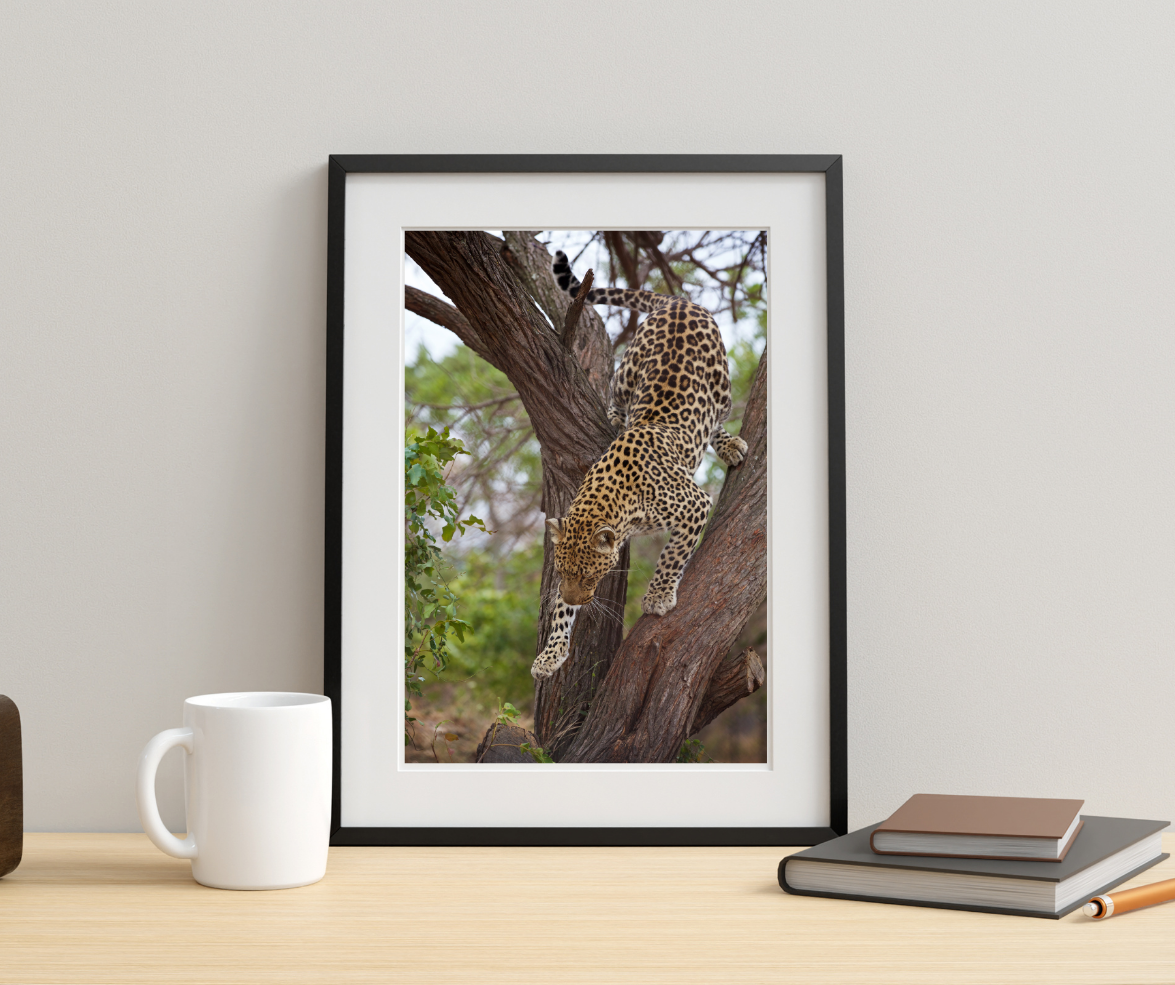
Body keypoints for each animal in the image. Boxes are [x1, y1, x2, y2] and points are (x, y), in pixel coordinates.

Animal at [530, 250, 748, 680]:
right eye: (562, 572)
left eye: (589, 575)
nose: (575, 597)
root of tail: (678, 301)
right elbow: (560, 614)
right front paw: (551, 653)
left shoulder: (694, 505)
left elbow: (673, 554)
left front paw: (659, 595)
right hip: (627, 372)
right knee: (619, 396)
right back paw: (619, 418)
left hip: (722, 389)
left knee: (716, 418)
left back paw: (730, 445)